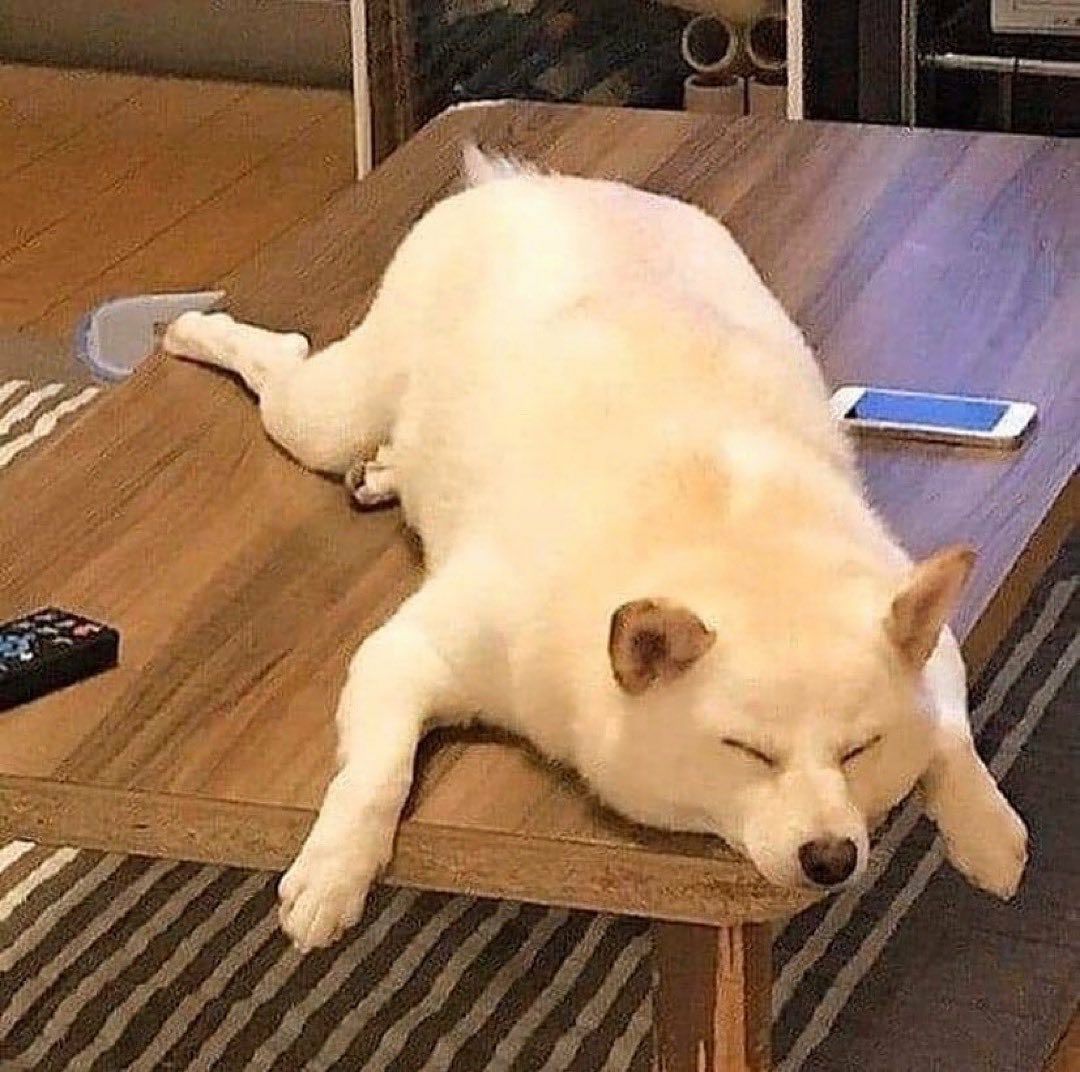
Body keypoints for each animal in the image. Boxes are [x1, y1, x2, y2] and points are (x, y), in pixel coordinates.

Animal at [164, 147, 1028, 951]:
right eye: (746, 752)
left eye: (860, 750)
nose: (831, 857)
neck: (729, 539)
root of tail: (525, 186)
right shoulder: (410, 652)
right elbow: (376, 775)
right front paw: (334, 871)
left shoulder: (926, 629)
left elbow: (950, 733)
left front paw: (985, 829)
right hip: (329, 412)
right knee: (286, 363)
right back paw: (198, 330)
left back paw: (383, 469)